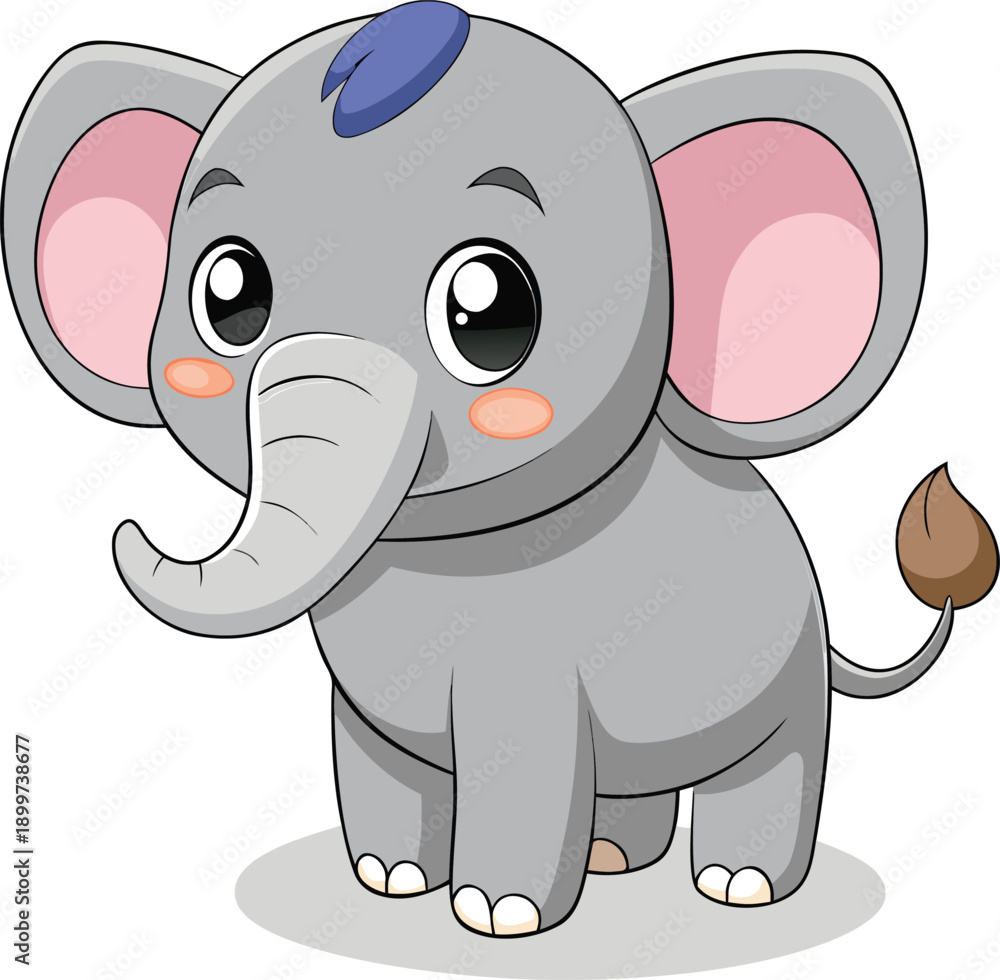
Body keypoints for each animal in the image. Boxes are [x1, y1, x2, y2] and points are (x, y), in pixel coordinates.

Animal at [5, 0, 998, 939]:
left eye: (489, 311)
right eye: (229, 294)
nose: (128, 530)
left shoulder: (535, 669)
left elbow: (525, 765)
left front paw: (497, 915)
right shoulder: (362, 690)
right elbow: (375, 752)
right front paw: (390, 879)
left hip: (786, 681)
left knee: (772, 765)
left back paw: (739, 886)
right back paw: (610, 859)